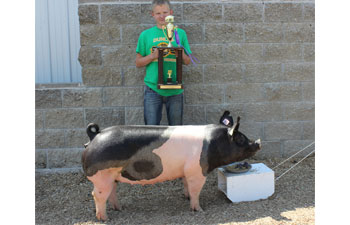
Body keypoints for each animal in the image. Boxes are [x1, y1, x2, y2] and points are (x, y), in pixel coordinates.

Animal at [82, 115, 262, 221]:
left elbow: (186, 185)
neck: (214, 144)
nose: (258, 142)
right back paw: (104, 219)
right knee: (97, 195)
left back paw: (119, 208)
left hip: (112, 177)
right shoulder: (197, 171)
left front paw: (186, 197)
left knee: (111, 192)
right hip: (102, 177)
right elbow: (196, 190)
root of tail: (95, 135)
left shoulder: (186, 171)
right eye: (240, 138)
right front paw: (199, 210)